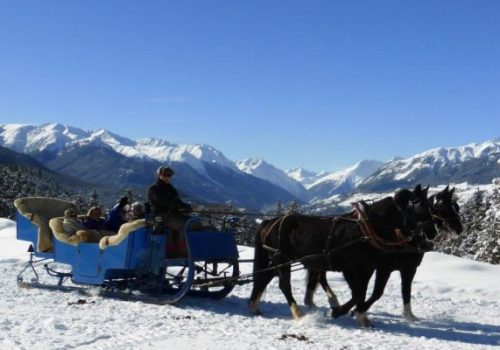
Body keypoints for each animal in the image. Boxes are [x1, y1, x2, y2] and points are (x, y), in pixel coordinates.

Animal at [248, 196, 424, 326]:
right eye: (410, 212)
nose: (421, 236)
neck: (363, 230)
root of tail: (270, 222)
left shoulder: (366, 268)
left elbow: (361, 293)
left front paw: (360, 316)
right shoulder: (351, 269)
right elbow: (358, 294)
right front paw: (338, 312)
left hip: (277, 260)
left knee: (263, 278)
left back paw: (254, 306)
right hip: (281, 258)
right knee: (284, 286)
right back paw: (298, 313)